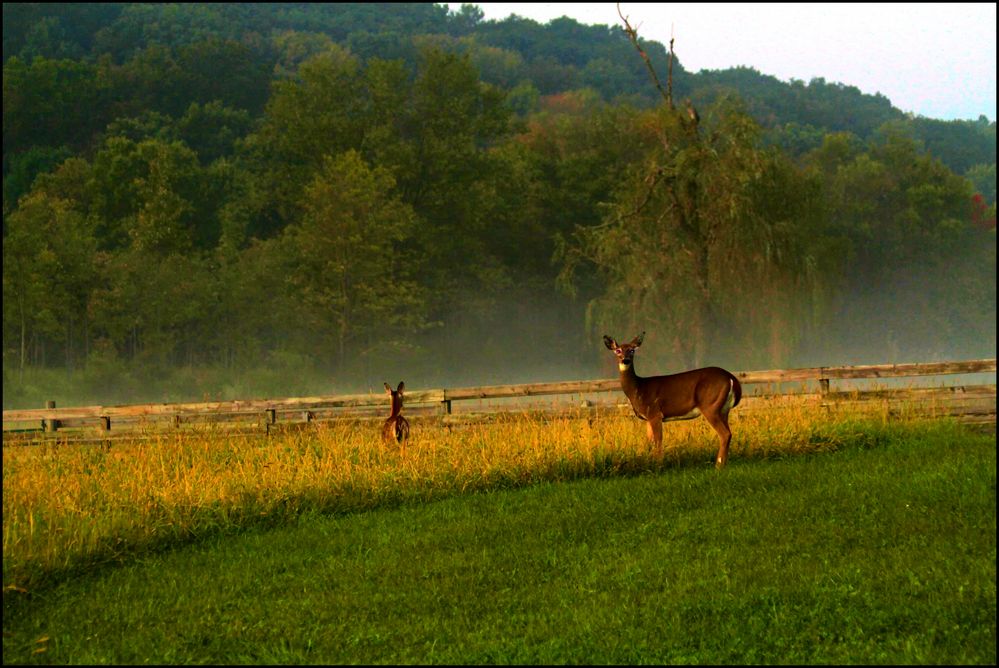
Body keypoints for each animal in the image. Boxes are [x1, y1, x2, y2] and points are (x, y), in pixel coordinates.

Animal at [600, 332, 744, 468]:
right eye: (618, 350)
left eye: (632, 350)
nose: (625, 360)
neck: (638, 389)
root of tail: (731, 378)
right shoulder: (648, 418)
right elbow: (650, 443)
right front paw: (651, 464)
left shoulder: (655, 413)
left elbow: (658, 442)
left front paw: (659, 466)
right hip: (723, 409)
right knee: (728, 433)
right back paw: (723, 463)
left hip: (710, 405)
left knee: (725, 434)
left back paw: (718, 465)